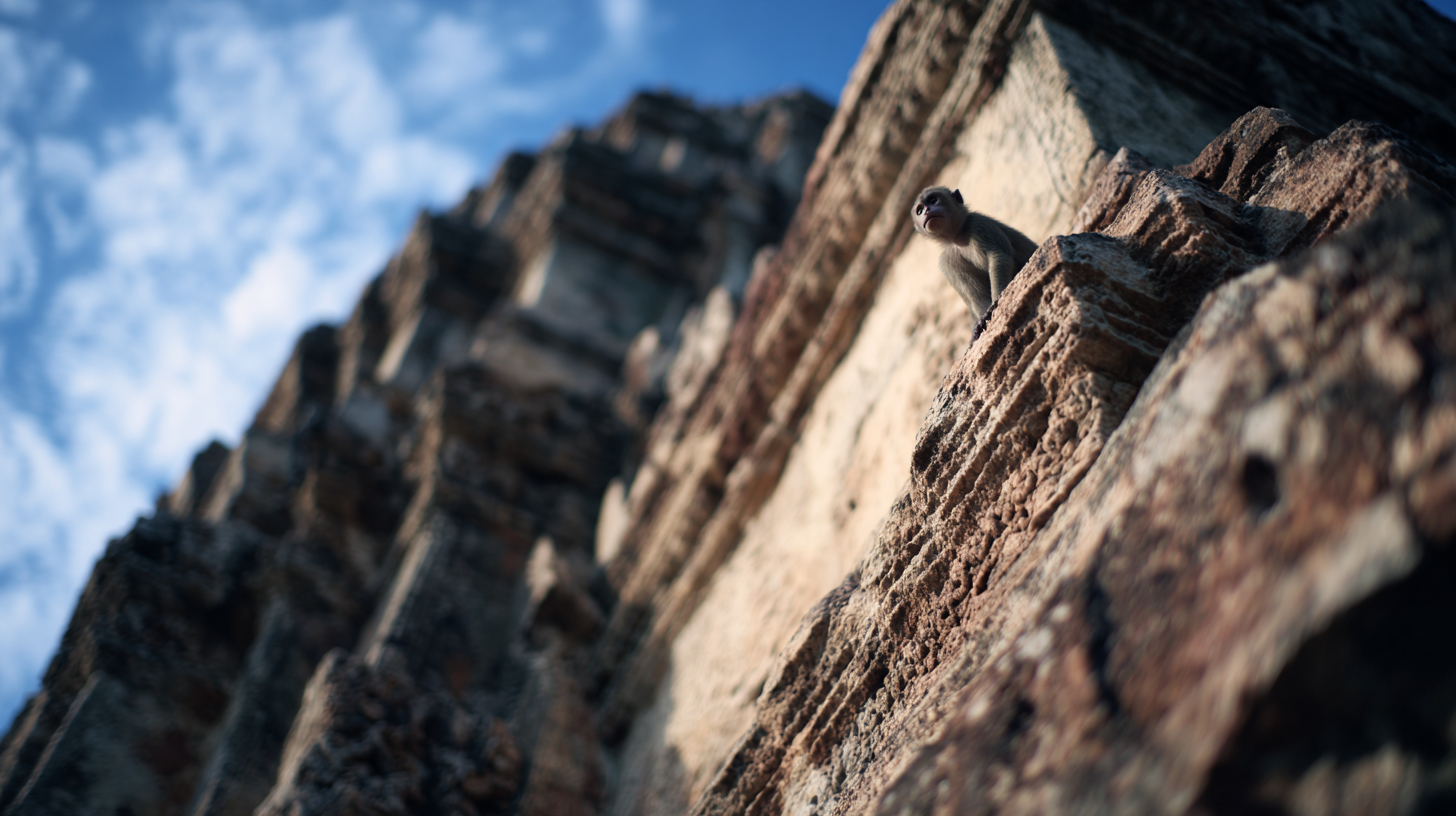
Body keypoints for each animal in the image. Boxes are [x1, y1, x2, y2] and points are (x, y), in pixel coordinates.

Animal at [912, 186, 1039, 322]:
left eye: (933, 200)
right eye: (919, 211)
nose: (926, 211)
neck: (958, 237)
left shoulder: (978, 224)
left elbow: (999, 257)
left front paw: (995, 302)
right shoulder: (947, 260)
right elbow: (973, 294)